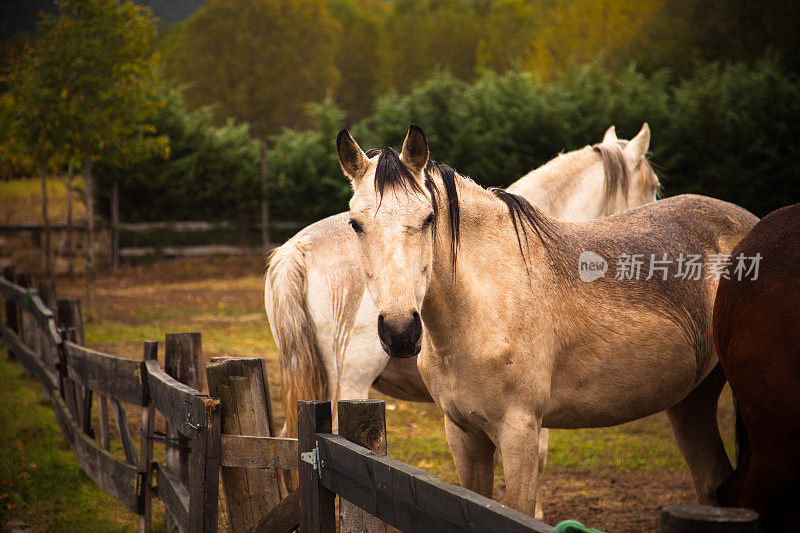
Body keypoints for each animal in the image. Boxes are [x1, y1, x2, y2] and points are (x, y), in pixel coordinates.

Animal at [336, 123, 756, 516]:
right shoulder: (464, 436)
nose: (400, 331)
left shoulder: (519, 433)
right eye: (355, 224)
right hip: (691, 401)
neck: (485, 304)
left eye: (427, 218)